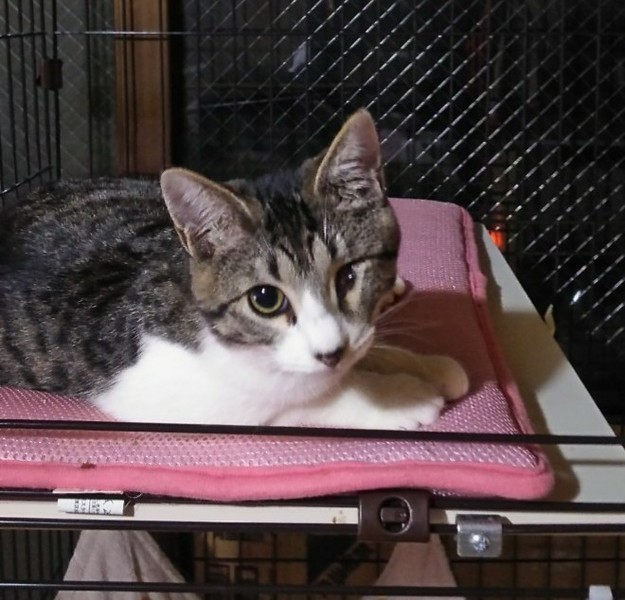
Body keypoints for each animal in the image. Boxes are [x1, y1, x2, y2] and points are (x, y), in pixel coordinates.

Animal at [0, 109, 468, 429]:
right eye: (266, 299)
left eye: (349, 275)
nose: (330, 353)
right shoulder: (163, 393)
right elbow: (299, 399)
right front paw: (399, 395)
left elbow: (363, 346)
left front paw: (425, 365)